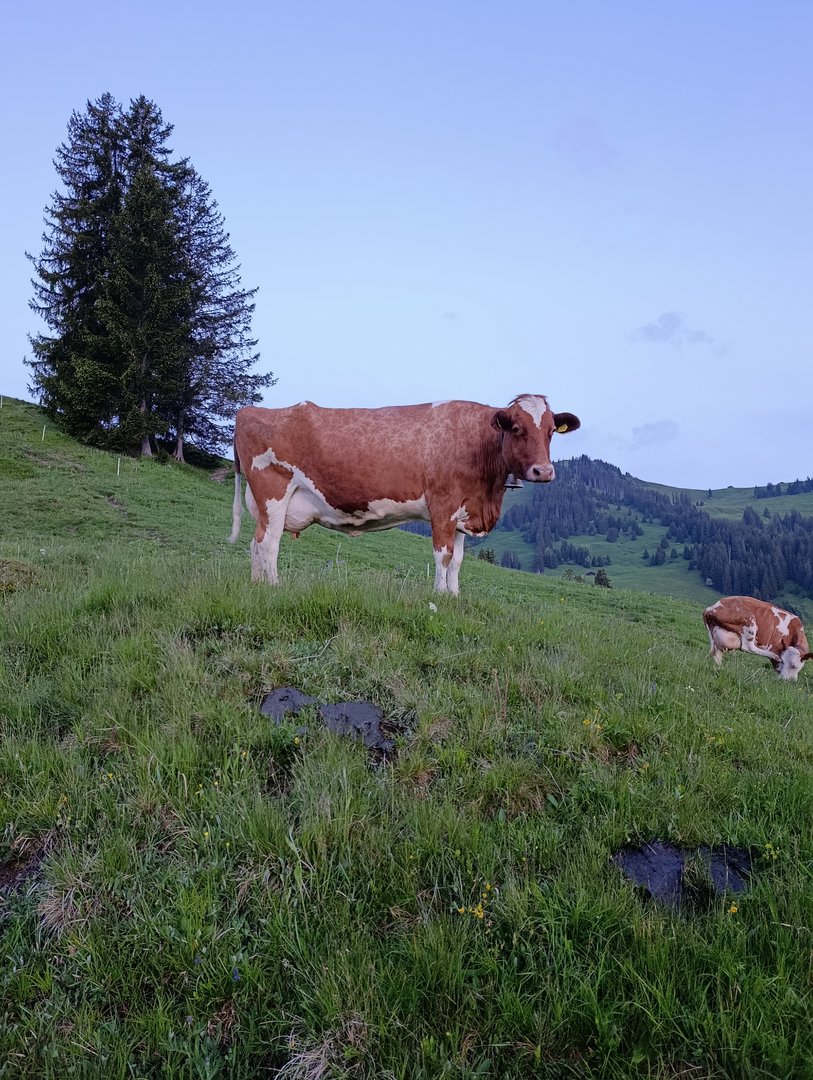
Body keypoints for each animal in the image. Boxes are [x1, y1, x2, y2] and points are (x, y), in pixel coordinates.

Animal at [230, 394, 580, 593]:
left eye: (551, 431)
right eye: (517, 429)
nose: (544, 472)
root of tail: (248, 411)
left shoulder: (464, 511)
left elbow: (458, 561)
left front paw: (454, 597)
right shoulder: (443, 506)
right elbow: (443, 555)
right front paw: (438, 597)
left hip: (262, 503)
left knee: (255, 542)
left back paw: (256, 585)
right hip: (274, 491)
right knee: (268, 542)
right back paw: (274, 588)